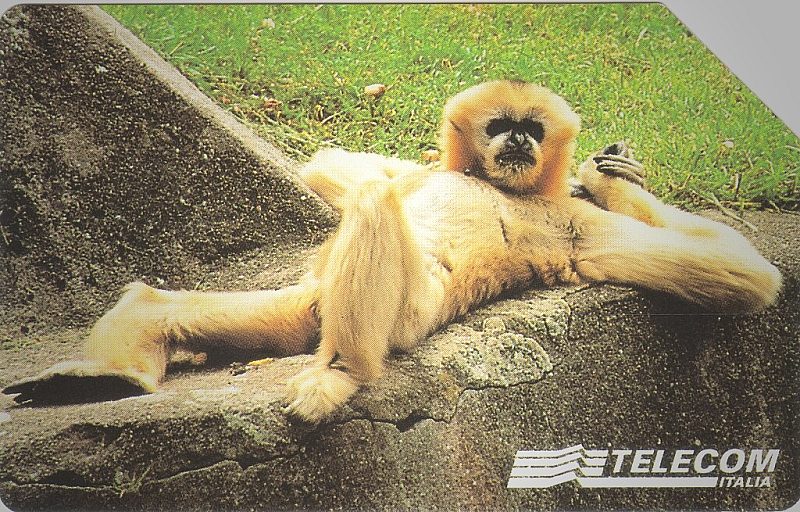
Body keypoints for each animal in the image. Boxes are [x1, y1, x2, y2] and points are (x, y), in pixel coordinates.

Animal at [3, 80, 782, 424]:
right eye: (501, 126)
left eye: (532, 128)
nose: (517, 141)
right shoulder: (428, 168)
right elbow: (331, 168)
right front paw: (613, 172)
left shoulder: (571, 226)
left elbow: (745, 277)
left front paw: (613, 175)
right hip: (303, 306)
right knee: (171, 299)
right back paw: (113, 370)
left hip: (398, 314)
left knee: (373, 209)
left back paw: (342, 374)